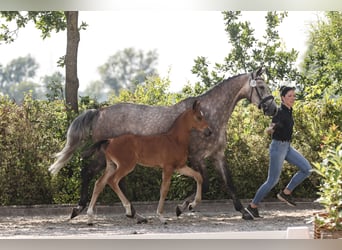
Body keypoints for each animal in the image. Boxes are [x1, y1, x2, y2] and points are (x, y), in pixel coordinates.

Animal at [49, 67, 276, 220]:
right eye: (261, 87)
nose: (273, 109)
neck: (210, 115)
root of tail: (99, 112)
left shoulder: (217, 155)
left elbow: (228, 182)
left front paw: (244, 212)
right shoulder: (197, 157)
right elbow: (205, 182)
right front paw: (184, 207)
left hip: (114, 160)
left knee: (111, 180)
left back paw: (133, 213)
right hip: (105, 156)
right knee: (90, 173)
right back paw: (80, 209)